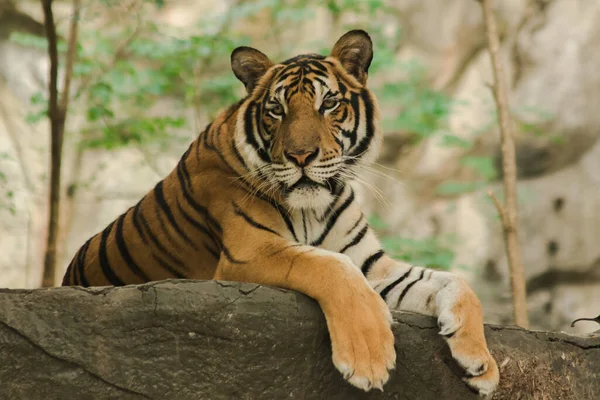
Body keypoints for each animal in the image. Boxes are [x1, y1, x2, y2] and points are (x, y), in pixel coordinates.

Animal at [62, 29, 502, 396]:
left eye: (329, 104)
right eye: (276, 109)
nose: (300, 156)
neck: (314, 206)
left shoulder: (373, 264)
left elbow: (458, 282)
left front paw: (482, 364)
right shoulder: (249, 252)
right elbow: (330, 266)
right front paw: (369, 358)